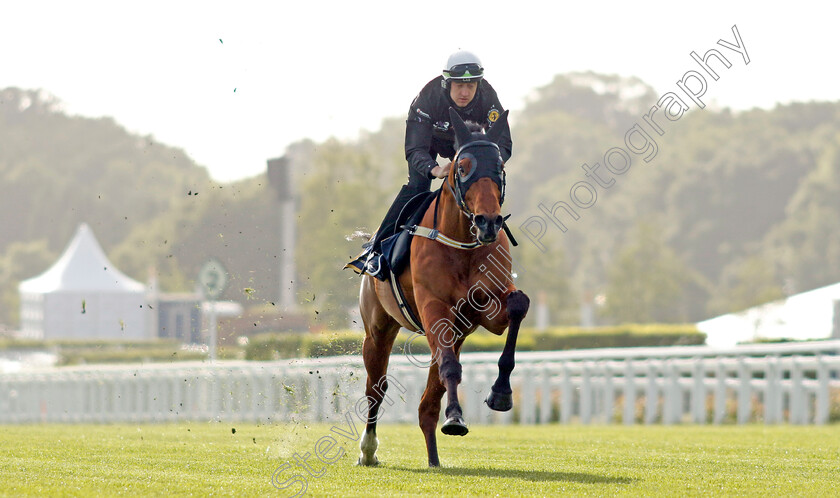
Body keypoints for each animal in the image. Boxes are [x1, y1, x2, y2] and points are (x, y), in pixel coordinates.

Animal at [356, 107, 528, 468]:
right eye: (462, 168)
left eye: (500, 167)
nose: (489, 222)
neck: (463, 244)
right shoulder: (433, 306)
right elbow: (449, 366)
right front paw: (456, 418)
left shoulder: (484, 311)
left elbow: (519, 304)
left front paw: (501, 394)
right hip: (378, 328)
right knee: (376, 386)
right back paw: (368, 450)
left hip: (455, 331)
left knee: (427, 401)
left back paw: (434, 458)